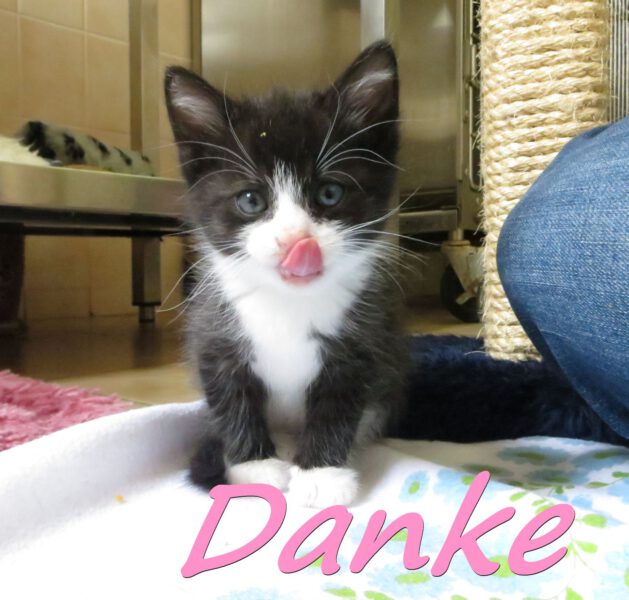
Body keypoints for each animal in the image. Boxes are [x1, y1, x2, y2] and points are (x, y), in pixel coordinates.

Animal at [165, 41, 409, 507]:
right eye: (250, 201)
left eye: (329, 193)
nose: (297, 240)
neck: (287, 302)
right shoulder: (212, 332)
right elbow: (231, 398)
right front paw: (255, 468)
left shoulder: (362, 342)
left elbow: (339, 403)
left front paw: (322, 474)